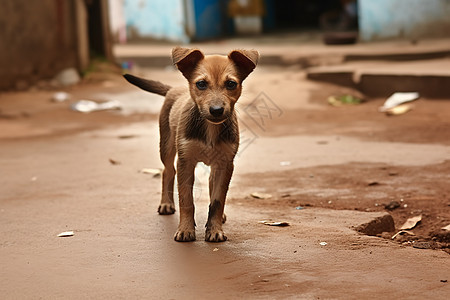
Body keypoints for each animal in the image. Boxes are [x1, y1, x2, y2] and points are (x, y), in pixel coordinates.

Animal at [124, 48, 256, 243]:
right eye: (201, 84)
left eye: (231, 84)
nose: (217, 110)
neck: (210, 127)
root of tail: (174, 89)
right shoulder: (186, 162)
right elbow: (186, 200)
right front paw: (185, 230)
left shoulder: (225, 164)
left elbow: (217, 200)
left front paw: (215, 230)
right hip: (167, 146)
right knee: (167, 171)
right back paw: (166, 204)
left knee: (211, 183)